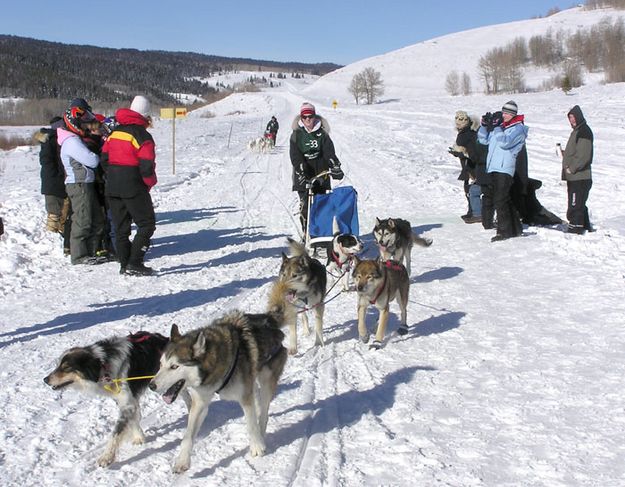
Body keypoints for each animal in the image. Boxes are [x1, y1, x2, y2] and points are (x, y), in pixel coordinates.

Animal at [42, 334, 169, 468]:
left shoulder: (127, 402)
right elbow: (133, 419)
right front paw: (139, 437)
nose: (45, 379)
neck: (104, 366)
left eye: (66, 367)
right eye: (58, 365)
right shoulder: (126, 401)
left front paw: (106, 457)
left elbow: (116, 433)